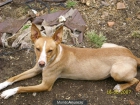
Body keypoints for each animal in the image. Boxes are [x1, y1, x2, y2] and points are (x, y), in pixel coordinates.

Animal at [0, 23, 140, 99]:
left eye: (50, 50)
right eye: (37, 48)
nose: (42, 63)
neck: (56, 56)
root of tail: (133, 56)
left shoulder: (45, 85)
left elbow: (22, 87)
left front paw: (8, 92)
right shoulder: (35, 69)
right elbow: (14, 77)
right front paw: (2, 85)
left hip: (116, 72)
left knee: (135, 80)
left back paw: (120, 87)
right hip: (105, 44)